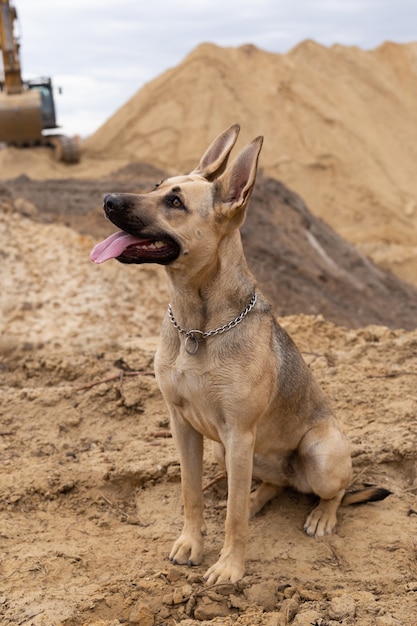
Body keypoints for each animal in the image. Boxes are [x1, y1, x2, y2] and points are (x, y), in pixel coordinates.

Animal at [89, 124, 388, 584]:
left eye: (175, 202)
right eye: (156, 186)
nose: (107, 199)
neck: (198, 326)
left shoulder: (238, 433)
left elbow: (232, 516)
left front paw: (229, 567)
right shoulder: (184, 426)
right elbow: (191, 492)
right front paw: (191, 544)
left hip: (317, 453)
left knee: (334, 492)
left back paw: (321, 516)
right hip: (226, 451)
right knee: (275, 485)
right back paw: (261, 497)